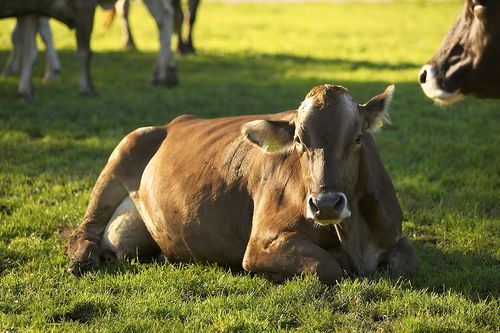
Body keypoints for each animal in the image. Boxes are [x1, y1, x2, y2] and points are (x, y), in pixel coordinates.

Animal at [66, 83, 418, 282]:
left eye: (358, 138)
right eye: (299, 141)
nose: (326, 204)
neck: (354, 237)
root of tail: (170, 124)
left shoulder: (393, 233)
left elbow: (406, 263)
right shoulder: (262, 242)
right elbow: (329, 267)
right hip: (121, 156)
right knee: (83, 231)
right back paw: (81, 259)